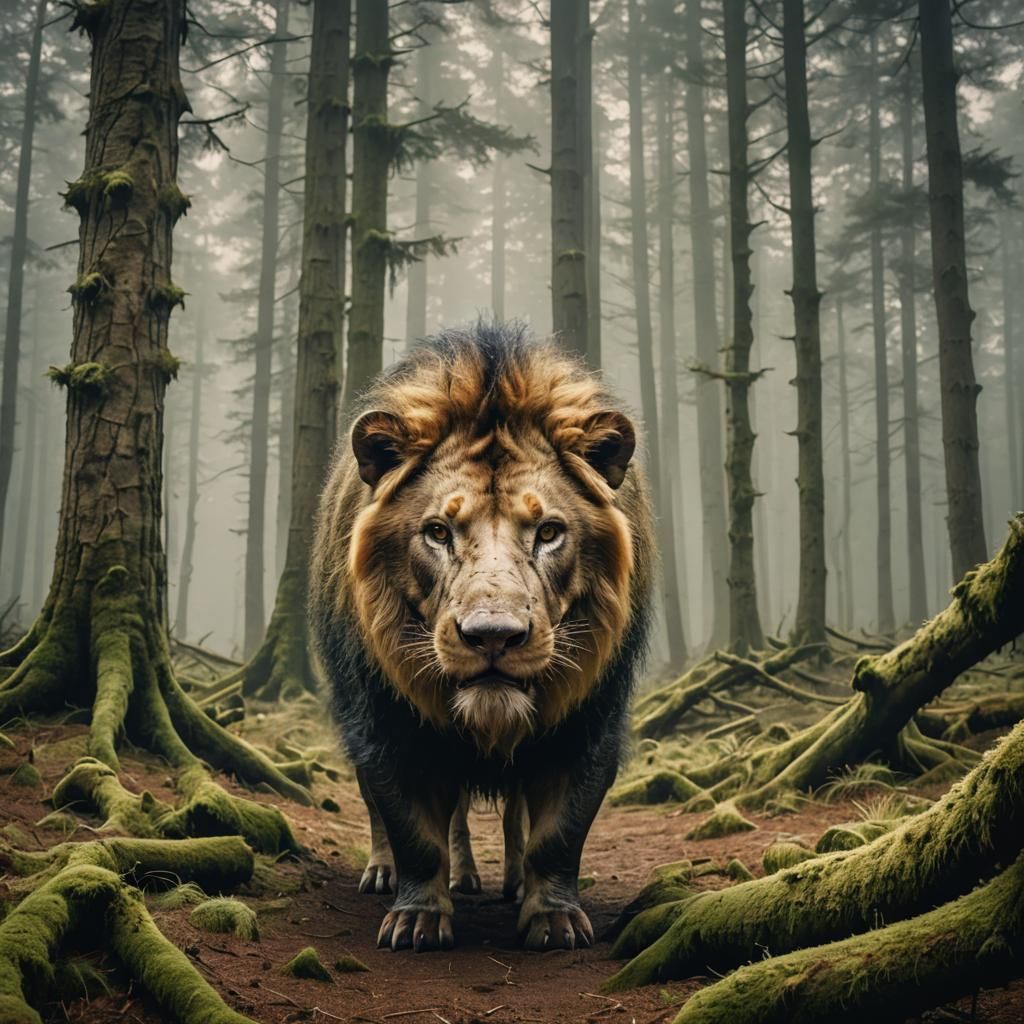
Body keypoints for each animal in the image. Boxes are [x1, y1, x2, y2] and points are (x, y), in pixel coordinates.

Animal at [310, 322, 654, 953]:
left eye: (548, 531)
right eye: (438, 532)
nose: (493, 636)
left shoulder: (589, 722)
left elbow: (559, 833)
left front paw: (554, 920)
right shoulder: (385, 722)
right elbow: (411, 828)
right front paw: (417, 919)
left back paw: (510, 881)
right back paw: (399, 874)